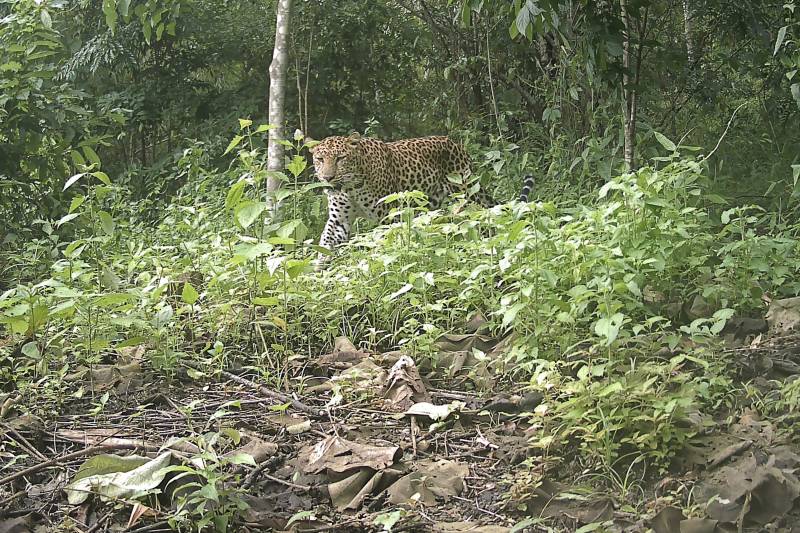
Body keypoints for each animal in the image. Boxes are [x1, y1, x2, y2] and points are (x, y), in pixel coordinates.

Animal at [310, 132, 534, 265]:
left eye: (340, 158)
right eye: (320, 159)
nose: (327, 178)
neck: (351, 186)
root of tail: (456, 144)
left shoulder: (388, 215)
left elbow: (387, 241)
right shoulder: (339, 219)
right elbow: (326, 240)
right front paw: (319, 270)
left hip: (468, 192)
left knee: (487, 212)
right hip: (428, 204)